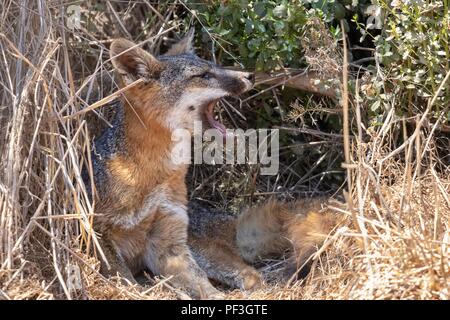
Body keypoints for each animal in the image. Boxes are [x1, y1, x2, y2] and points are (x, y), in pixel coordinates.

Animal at [86, 28, 336, 298]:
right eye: (203, 75)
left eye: (213, 66)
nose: (250, 75)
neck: (155, 175)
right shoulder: (99, 234)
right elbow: (122, 280)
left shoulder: (169, 239)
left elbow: (201, 283)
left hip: (200, 248)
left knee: (251, 275)